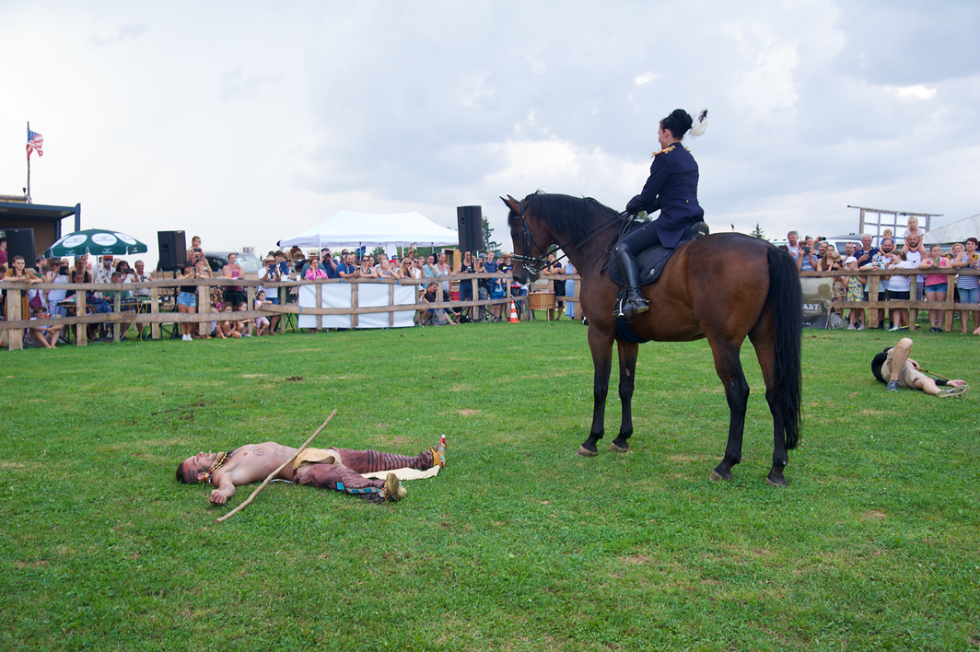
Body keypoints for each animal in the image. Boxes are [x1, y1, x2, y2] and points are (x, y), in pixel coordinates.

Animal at [501, 192, 803, 486]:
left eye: (516, 230)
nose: (518, 275)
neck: (597, 247)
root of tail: (767, 249)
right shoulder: (627, 339)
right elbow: (626, 387)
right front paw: (622, 437)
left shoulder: (599, 332)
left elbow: (600, 387)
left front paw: (592, 439)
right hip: (765, 339)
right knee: (775, 393)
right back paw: (777, 468)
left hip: (723, 343)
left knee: (738, 394)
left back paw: (726, 464)